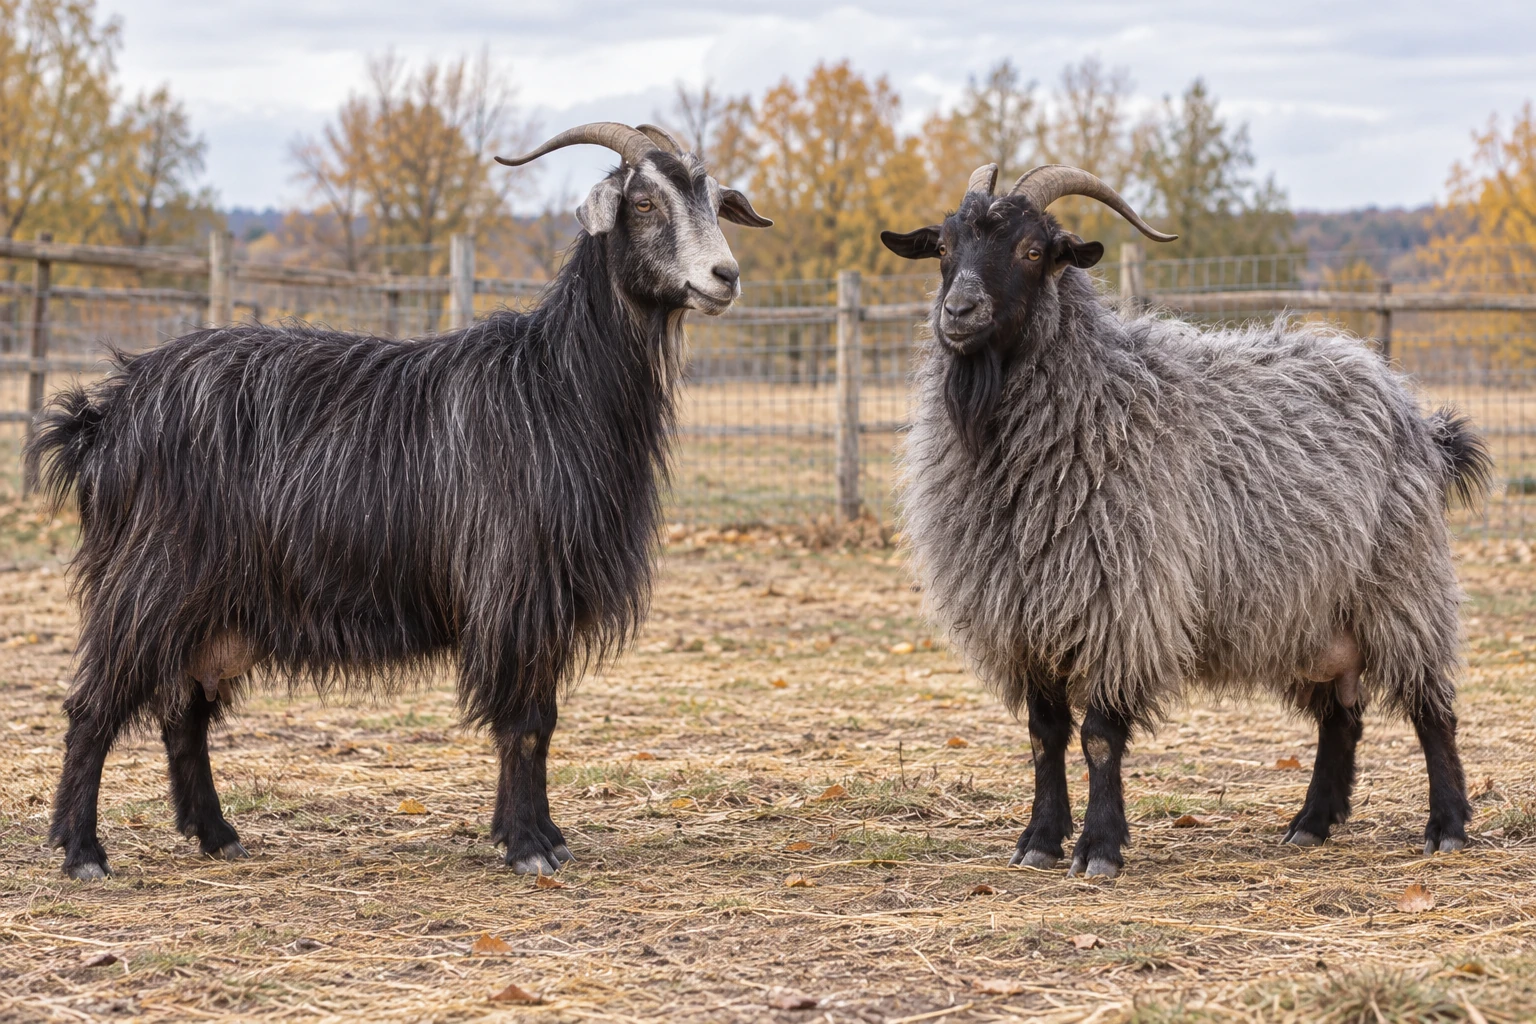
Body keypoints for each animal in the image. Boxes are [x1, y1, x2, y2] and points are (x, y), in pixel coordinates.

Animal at [28, 121, 770, 880]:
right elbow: (526, 723)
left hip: (217, 606)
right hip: (153, 579)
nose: (725, 276)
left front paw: (534, 834)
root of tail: (111, 414)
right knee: (93, 705)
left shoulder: (544, 600)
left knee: (186, 711)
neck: (556, 384)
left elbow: (540, 721)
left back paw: (217, 833)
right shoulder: (515, 587)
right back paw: (82, 850)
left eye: (711, 197)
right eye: (644, 203)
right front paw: (530, 845)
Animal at [881, 163, 1490, 877]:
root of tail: (1411, 409)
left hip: (1402, 585)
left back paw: (1447, 826)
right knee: (1342, 716)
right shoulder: (1025, 615)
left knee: (1432, 709)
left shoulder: (1120, 604)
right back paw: (1310, 823)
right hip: (1313, 609)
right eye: (945, 248)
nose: (959, 312)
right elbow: (1043, 736)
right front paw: (1039, 840)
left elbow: (1098, 738)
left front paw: (1099, 848)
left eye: (1033, 251)